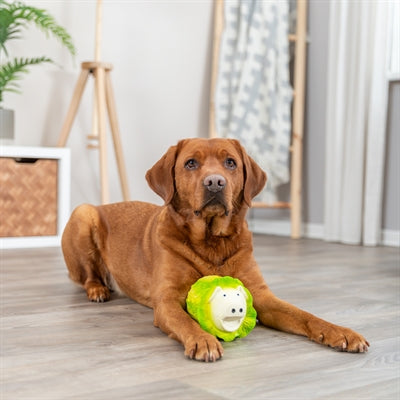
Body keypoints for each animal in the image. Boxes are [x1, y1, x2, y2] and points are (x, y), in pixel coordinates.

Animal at [61, 138, 370, 360]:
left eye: (230, 163)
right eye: (190, 163)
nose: (214, 182)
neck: (212, 241)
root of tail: (104, 204)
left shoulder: (261, 296)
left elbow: (304, 315)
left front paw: (340, 332)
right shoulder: (167, 301)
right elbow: (186, 322)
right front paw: (203, 340)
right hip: (83, 213)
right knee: (89, 275)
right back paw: (98, 290)